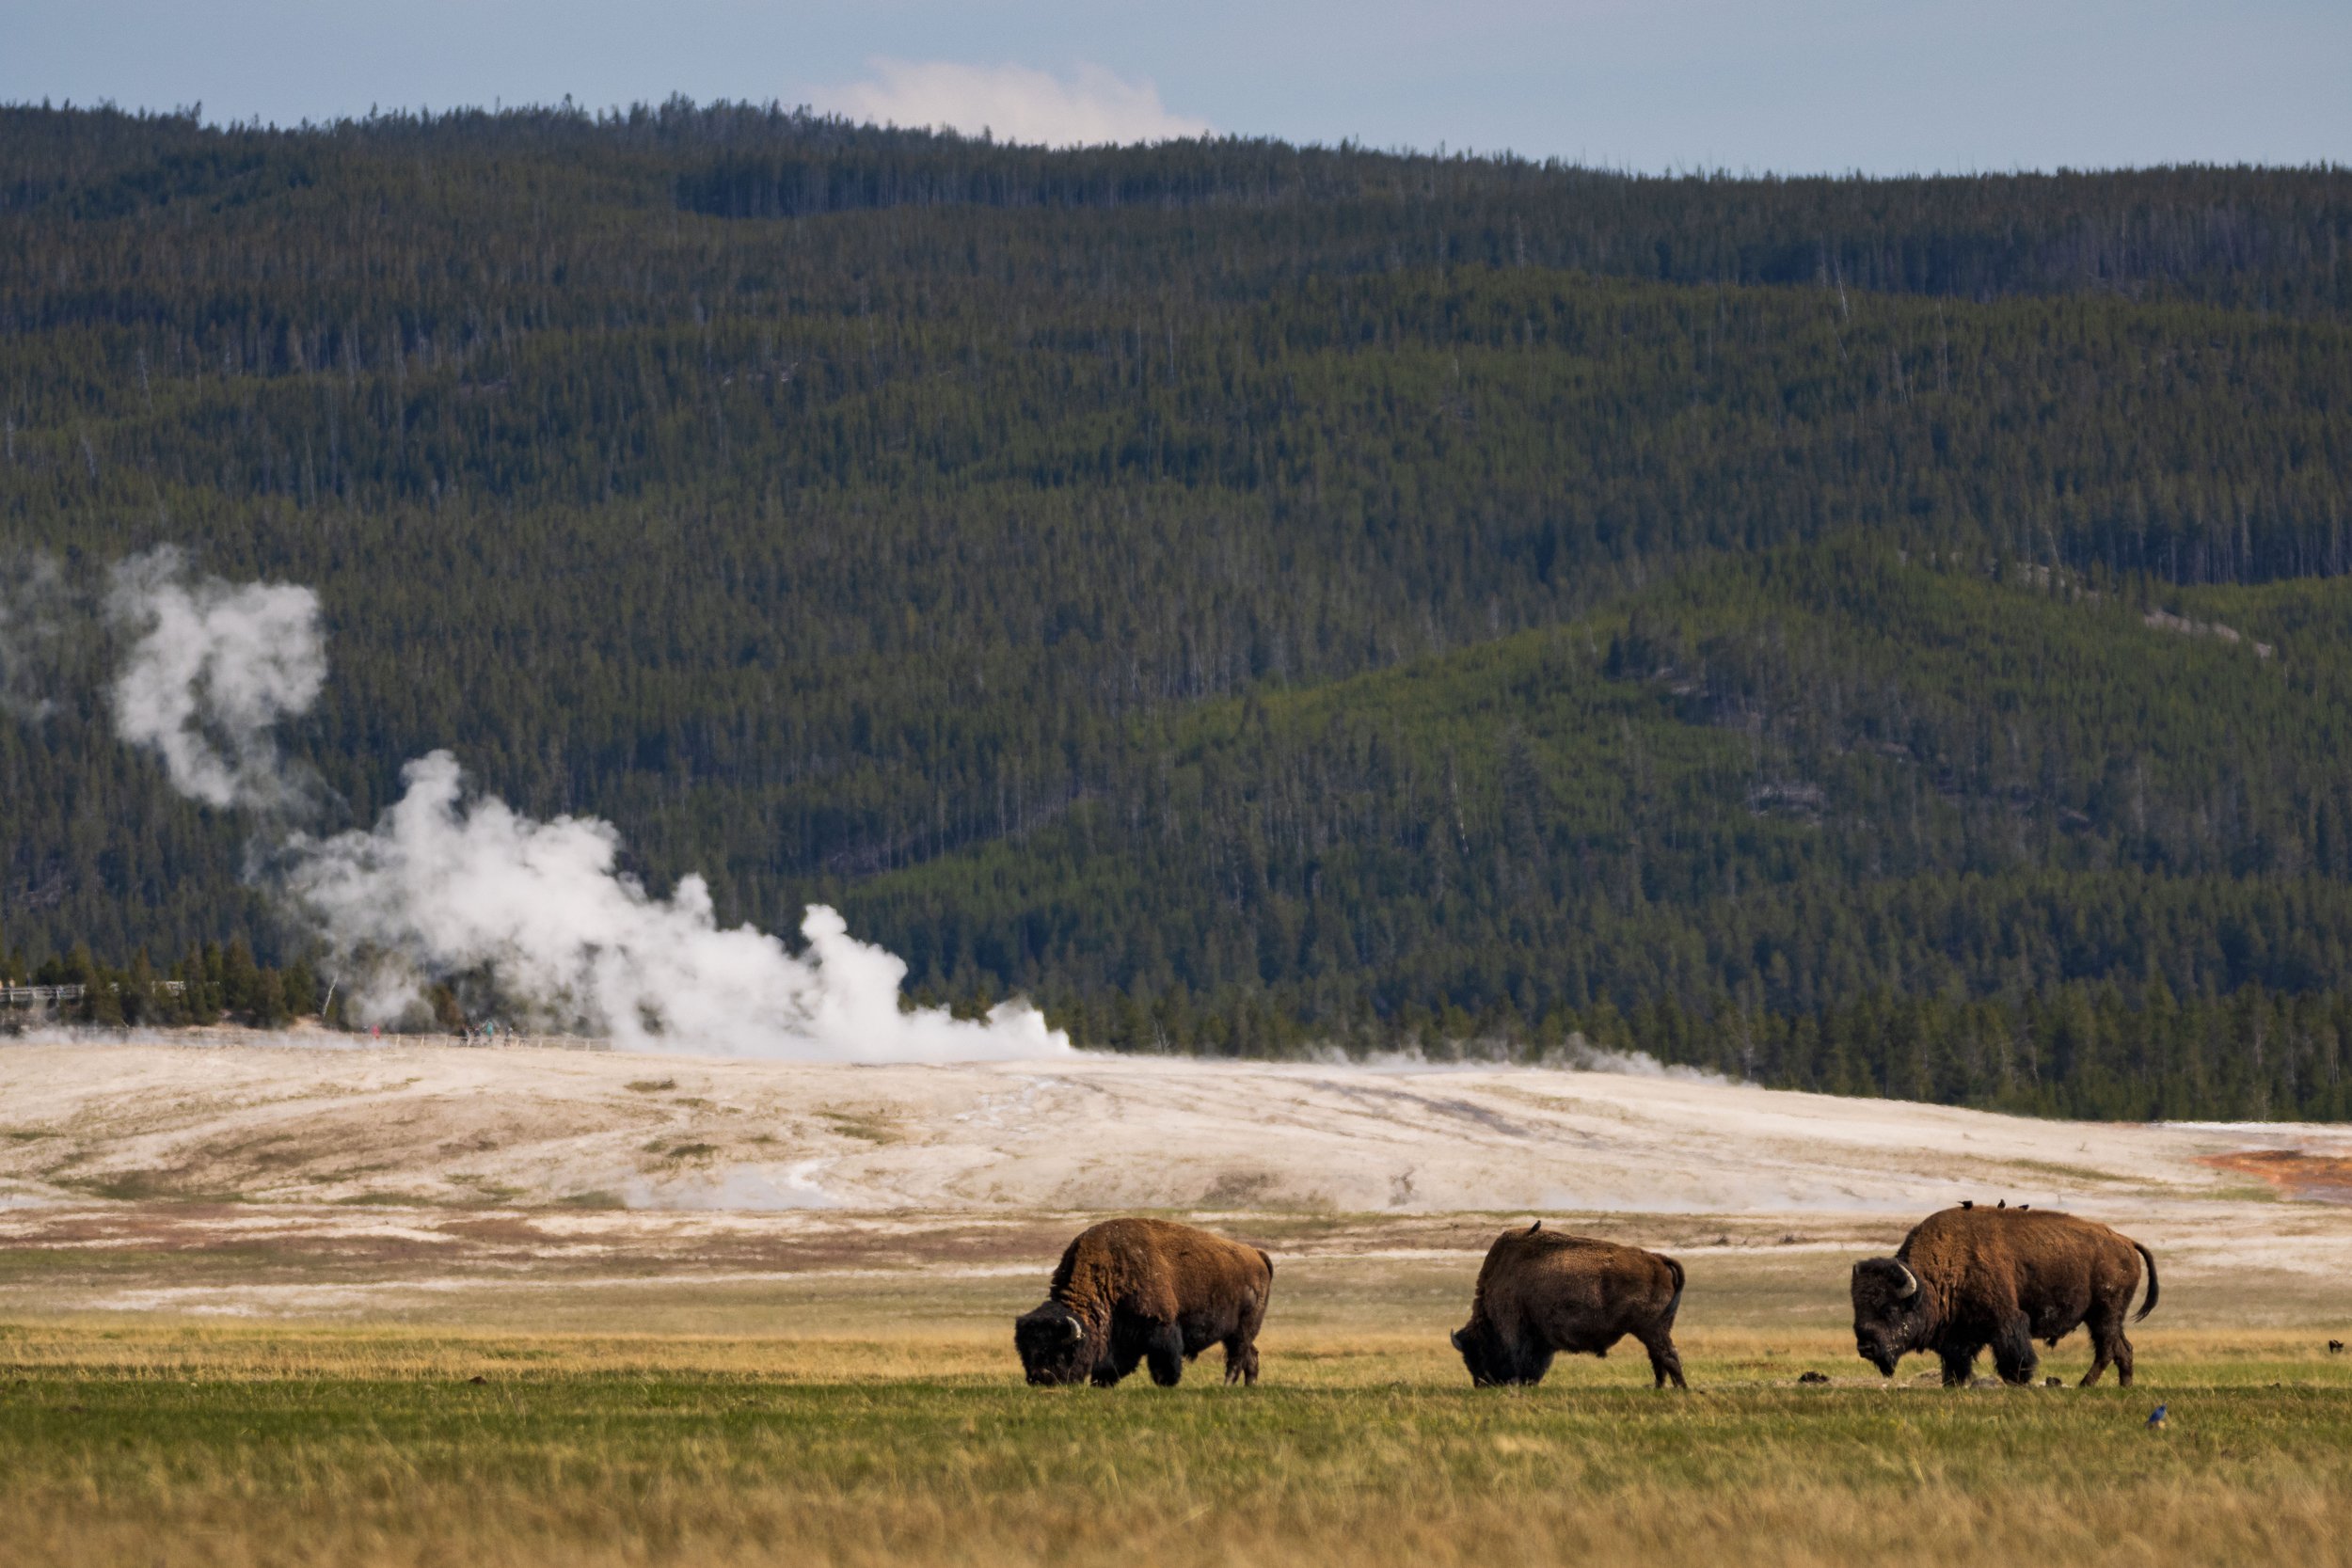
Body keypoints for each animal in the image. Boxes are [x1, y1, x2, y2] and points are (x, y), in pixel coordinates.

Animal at [1013, 1217, 1273, 1388]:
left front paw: (1166, 1384)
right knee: (1250, 1354)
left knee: (1236, 1356)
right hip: (1236, 1332)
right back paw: (1248, 1386)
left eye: (1059, 1351)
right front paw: (1100, 1383)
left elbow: (1163, 1362)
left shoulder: (1161, 1328)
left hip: (1243, 1328)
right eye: (1025, 1352)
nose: (1039, 1378)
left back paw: (1226, 1385)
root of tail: (1256, 1254)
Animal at [1451, 1222, 1688, 1388]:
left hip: (1651, 1329)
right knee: (1658, 1358)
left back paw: (1680, 1389)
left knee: (1667, 1356)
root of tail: (1657, 1259)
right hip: (1654, 1330)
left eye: (1478, 1352)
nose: (1482, 1384)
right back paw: (1659, 1388)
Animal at [1851, 1205, 2157, 1387]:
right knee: (2122, 1348)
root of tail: (2125, 1241)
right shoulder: (1957, 1335)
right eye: (1858, 1309)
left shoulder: (2006, 1321)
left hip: (2104, 1314)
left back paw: (2086, 1384)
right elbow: (1955, 1361)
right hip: (2105, 1317)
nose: (1865, 1347)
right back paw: (2123, 1386)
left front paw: (2018, 1381)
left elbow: (2014, 1354)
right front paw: (1953, 1383)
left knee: (2107, 1349)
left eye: (1889, 1309)